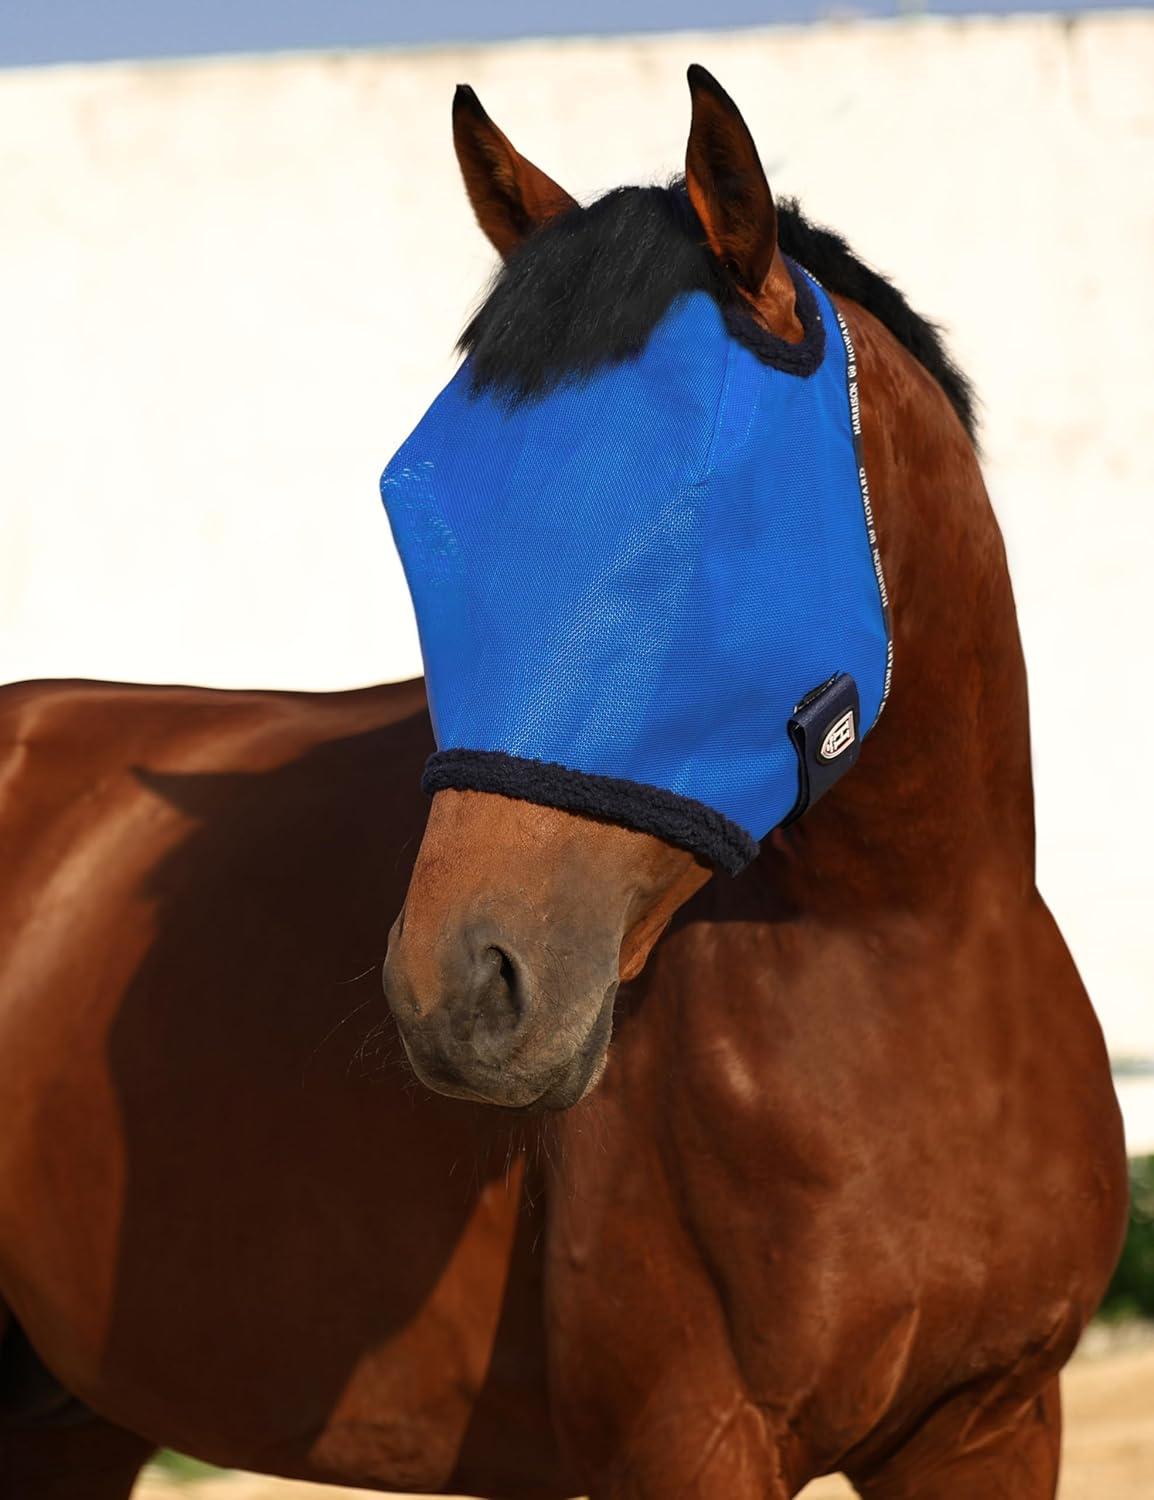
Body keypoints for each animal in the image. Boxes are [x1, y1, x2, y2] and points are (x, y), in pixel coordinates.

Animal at [0, 66, 1127, 1500]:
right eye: (415, 508)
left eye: (698, 505)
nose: (457, 992)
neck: (909, 962)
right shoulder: (686, 1441)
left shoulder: (989, 1423)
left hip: (70, 1420)